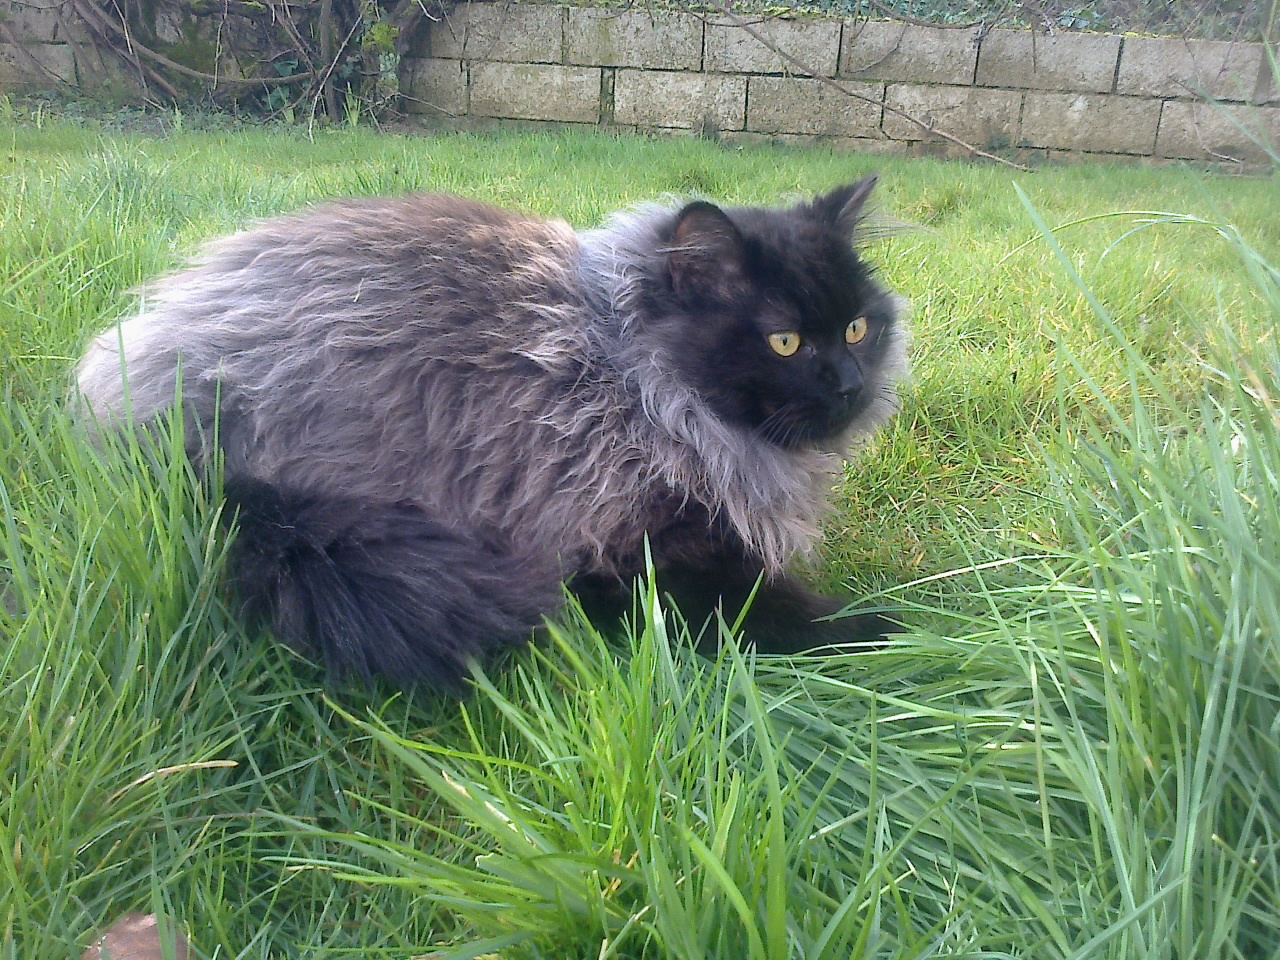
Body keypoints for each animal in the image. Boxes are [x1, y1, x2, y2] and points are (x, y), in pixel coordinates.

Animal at [74, 177, 909, 690]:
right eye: (784, 343)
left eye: (858, 328)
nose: (850, 384)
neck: (635, 379)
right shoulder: (632, 548)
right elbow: (774, 613)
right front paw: (892, 629)